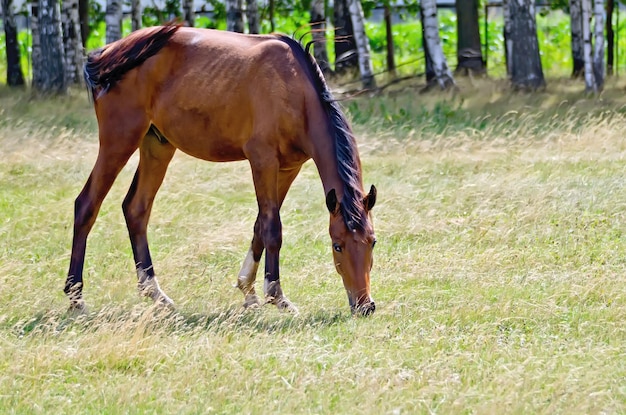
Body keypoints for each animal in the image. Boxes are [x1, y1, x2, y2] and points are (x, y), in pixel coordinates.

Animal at [64, 22, 376, 316]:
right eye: (337, 245)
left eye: (372, 242)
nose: (365, 305)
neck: (293, 89)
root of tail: (107, 54)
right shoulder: (263, 161)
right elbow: (272, 228)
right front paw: (276, 296)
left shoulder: (288, 169)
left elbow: (260, 225)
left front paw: (248, 290)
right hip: (119, 141)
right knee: (87, 205)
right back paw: (76, 297)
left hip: (157, 146)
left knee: (136, 209)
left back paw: (155, 293)